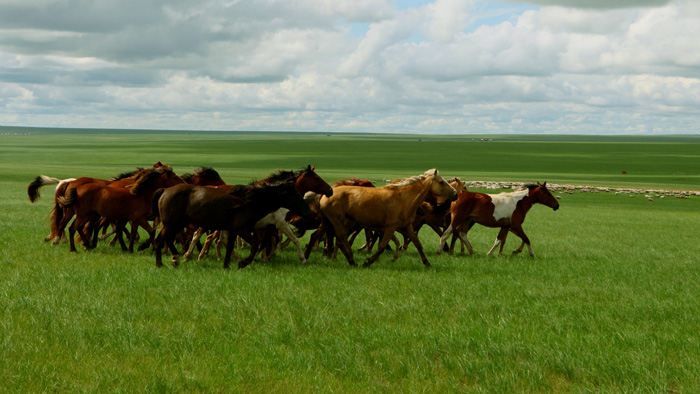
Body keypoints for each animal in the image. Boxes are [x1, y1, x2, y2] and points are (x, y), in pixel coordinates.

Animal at [154, 179, 310, 270]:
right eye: (295, 195)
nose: (308, 211)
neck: (250, 201)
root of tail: (165, 190)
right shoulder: (242, 229)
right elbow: (256, 245)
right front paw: (242, 263)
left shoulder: (233, 229)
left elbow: (229, 247)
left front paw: (226, 265)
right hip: (172, 223)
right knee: (162, 239)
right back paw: (170, 260)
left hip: (177, 223)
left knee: (162, 239)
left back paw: (167, 261)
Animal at [318, 169, 460, 268]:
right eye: (441, 182)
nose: (455, 194)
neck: (403, 199)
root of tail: (326, 195)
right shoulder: (391, 227)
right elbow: (381, 246)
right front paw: (368, 262)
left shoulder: (407, 226)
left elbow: (418, 244)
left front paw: (427, 263)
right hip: (339, 222)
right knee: (342, 240)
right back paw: (353, 261)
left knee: (339, 241)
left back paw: (350, 261)